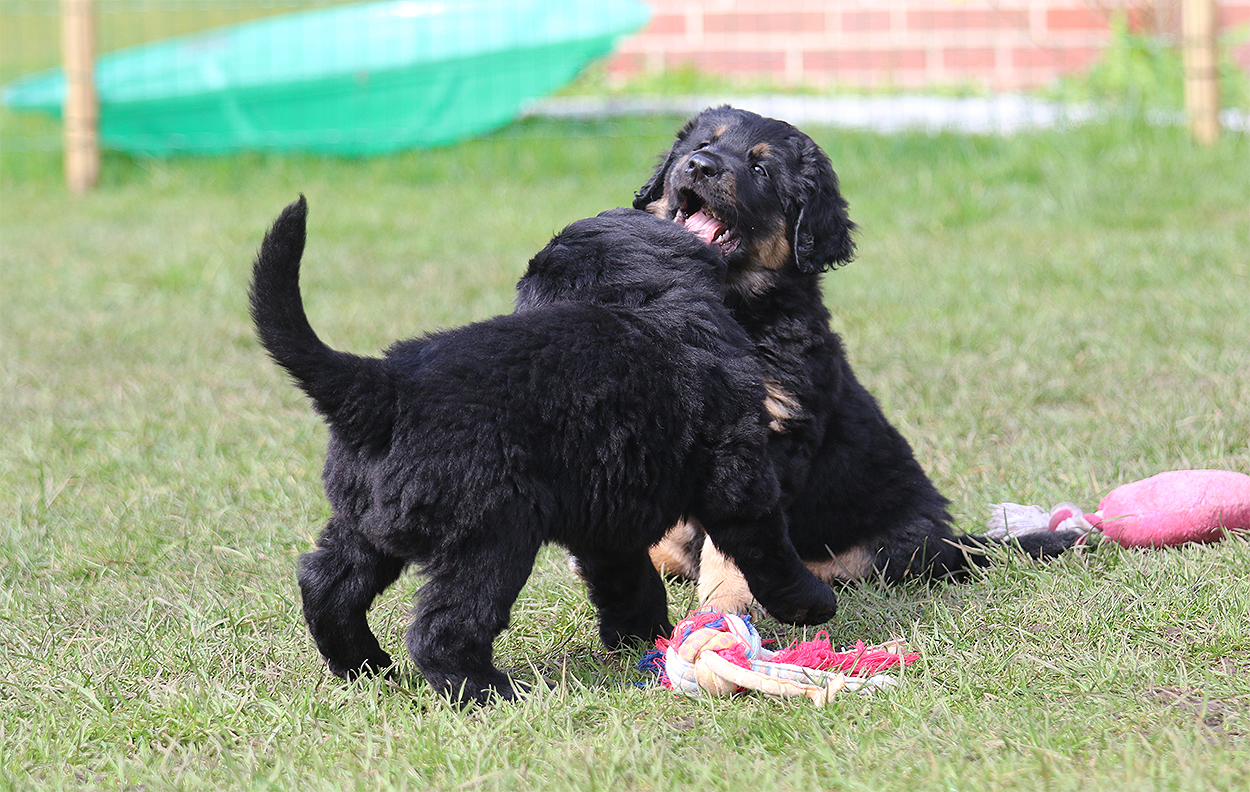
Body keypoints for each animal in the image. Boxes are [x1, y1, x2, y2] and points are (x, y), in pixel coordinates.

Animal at [249, 197, 836, 704]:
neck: (642, 299)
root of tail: (385, 386)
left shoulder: (609, 516)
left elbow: (627, 580)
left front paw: (643, 638)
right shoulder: (739, 476)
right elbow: (767, 547)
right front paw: (811, 604)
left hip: (365, 522)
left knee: (328, 583)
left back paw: (365, 666)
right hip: (491, 536)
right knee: (444, 629)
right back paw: (498, 692)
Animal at [634, 106, 1084, 612]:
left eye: (760, 169)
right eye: (700, 145)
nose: (700, 165)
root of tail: (952, 539)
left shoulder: (773, 435)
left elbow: (733, 547)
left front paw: (722, 608)